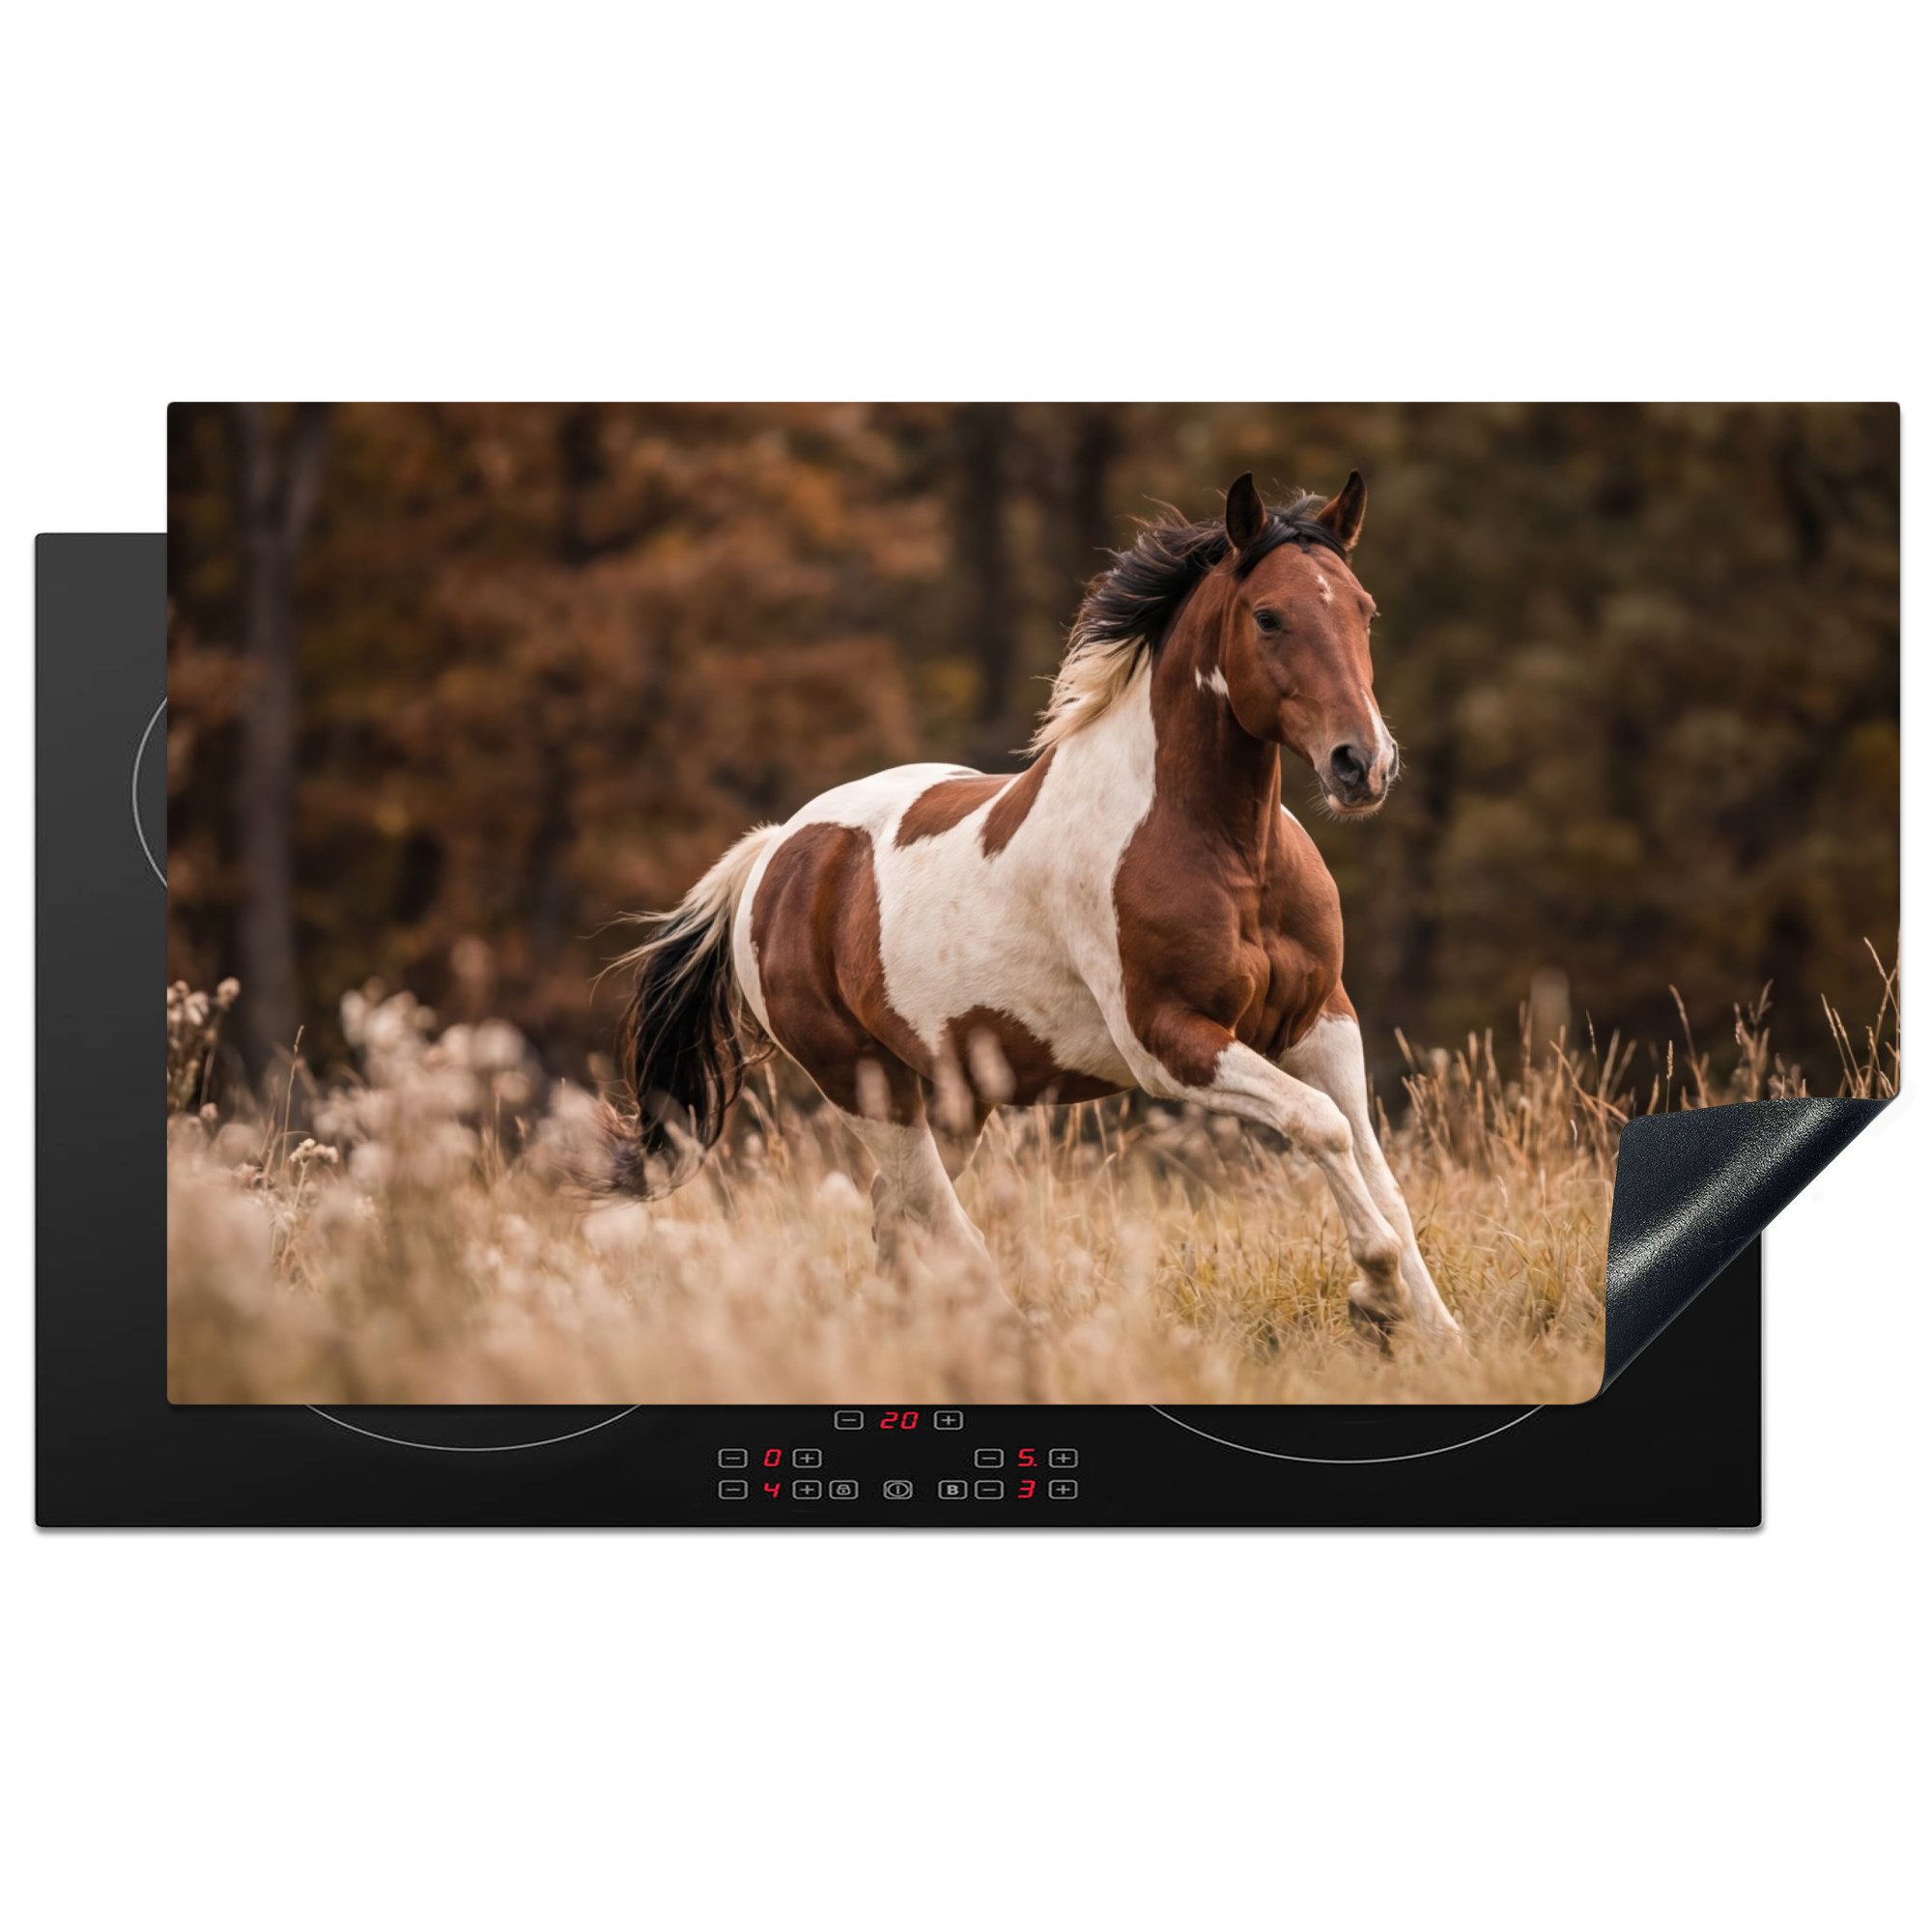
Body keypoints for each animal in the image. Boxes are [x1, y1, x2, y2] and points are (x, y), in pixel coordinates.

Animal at [606, 470, 1463, 1347]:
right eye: (1269, 615)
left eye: (1363, 609)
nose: (1362, 764)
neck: (1229, 854)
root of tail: (774, 853)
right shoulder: (1169, 1043)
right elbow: (1320, 1125)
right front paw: (1376, 1295)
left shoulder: (1322, 1022)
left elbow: (1374, 1168)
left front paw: (1438, 1335)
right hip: (866, 1084)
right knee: (936, 1219)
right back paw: (1013, 1335)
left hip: (957, 1095)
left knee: (897, 1216)